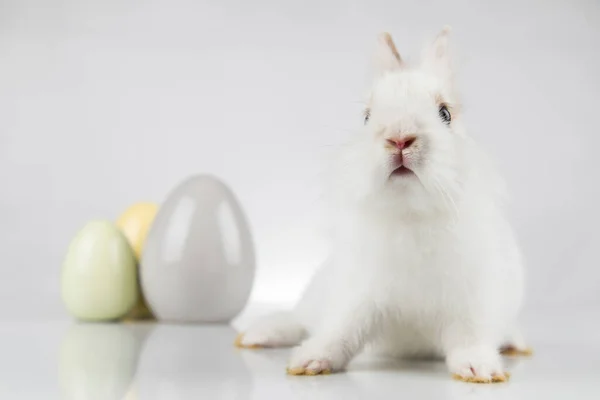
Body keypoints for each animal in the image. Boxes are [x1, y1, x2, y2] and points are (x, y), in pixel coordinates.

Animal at [236, 26, 528, 382]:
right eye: (366, 117)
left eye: (445, 113)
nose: (399, 138)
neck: (410, 214)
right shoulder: (357, 296)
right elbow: (341, 331)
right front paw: (310, 361)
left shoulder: (472, 301)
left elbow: (469, 338)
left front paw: (479, 369)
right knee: (299, 319)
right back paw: (257, 335)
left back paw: (515, 343)